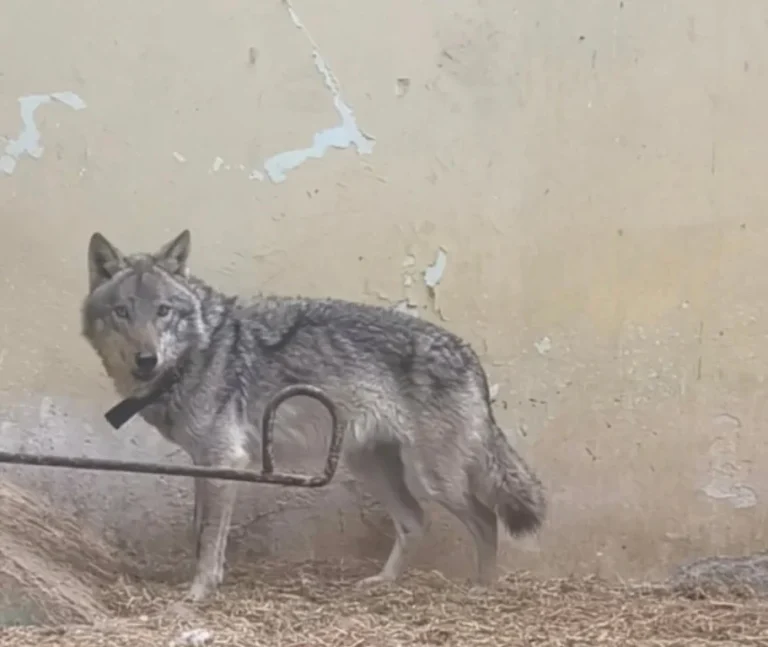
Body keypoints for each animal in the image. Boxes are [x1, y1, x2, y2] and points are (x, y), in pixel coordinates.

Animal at [81, 229, 546, 601]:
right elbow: (199, 533)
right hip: (371, 468)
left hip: (433, 480)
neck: (199, 352)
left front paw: (198, 593)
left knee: (486, 520)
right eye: (122, 312)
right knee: (415, 522)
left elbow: (210, 539)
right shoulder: (204, 465)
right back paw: (383, 582)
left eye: (163, 311)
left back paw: (483, 589)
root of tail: (468, 354)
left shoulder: (225, 462)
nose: (146, 359)